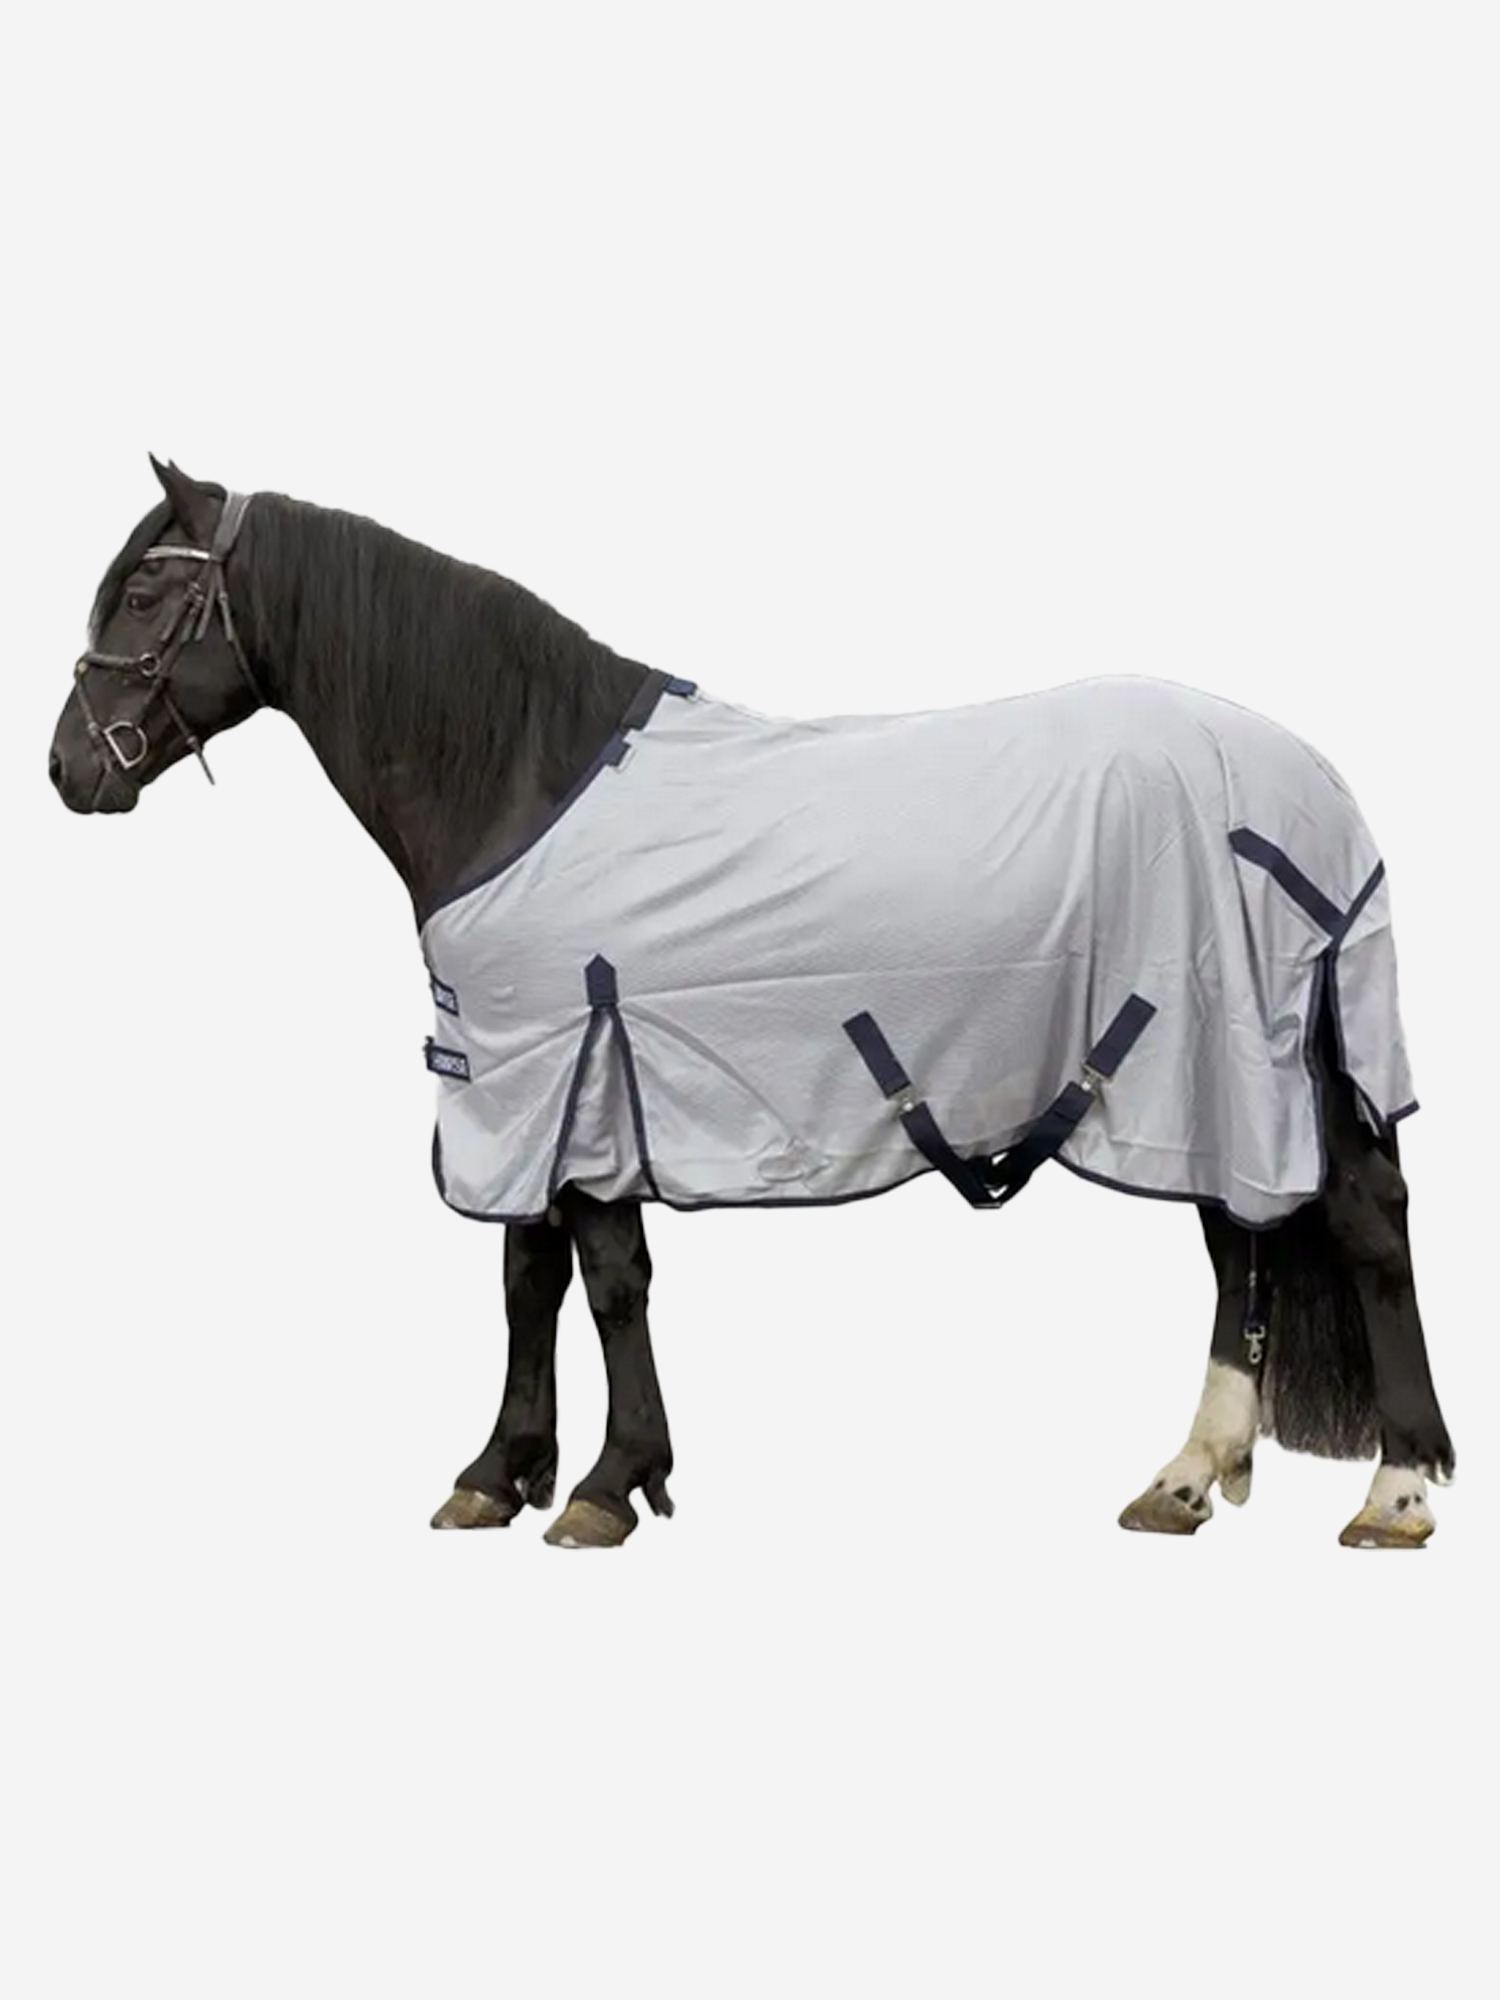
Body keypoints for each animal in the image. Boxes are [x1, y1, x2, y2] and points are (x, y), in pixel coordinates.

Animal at [48, 458, 1455, 1549]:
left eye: (145, 592)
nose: (67, 769)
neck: (519, 778)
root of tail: (1309, 777)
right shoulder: (521, 1076)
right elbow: (526, 1275)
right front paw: (499, 1473)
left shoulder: (577, 1061)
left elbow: (606, 1278)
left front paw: (608, 1484)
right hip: (1205, 1075)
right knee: (1238, 1236)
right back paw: (1185, 1477)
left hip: (1252, 1059)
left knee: (1362, 1224)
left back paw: (1396, 1490)